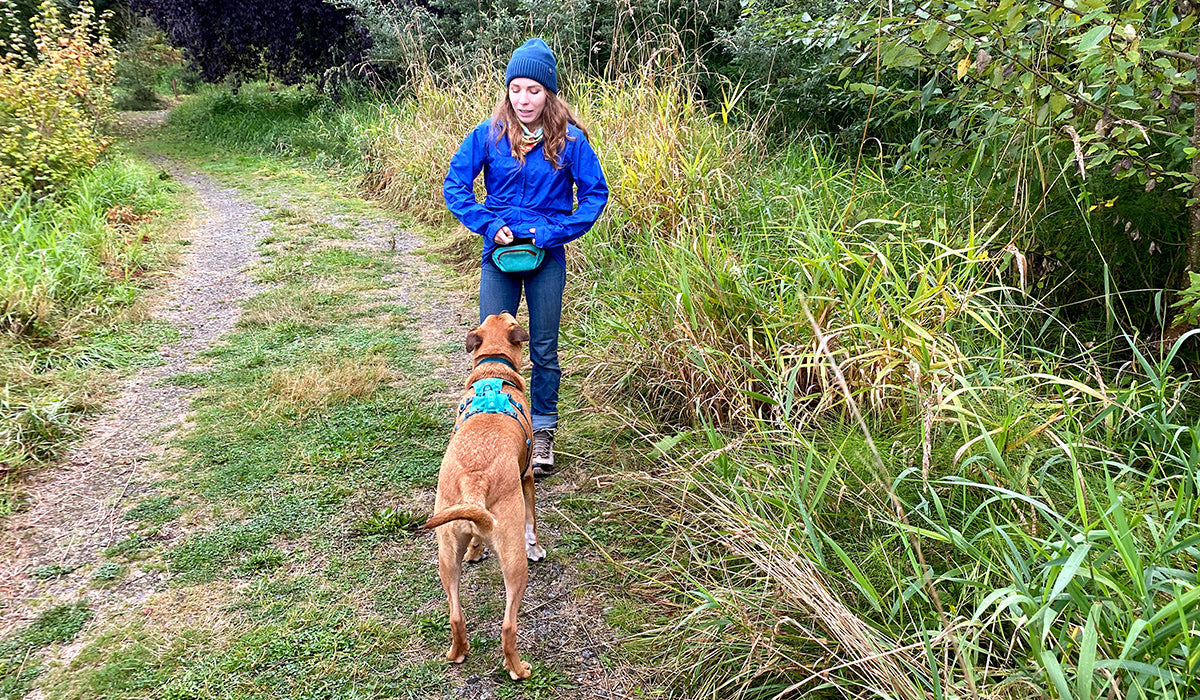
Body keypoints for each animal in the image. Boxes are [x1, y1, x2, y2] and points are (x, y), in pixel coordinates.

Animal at [422, 309, 549, 677]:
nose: (505, 309)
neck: (493, 369)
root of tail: (475, 480)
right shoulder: (526, 478)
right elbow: (533, 523)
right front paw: (537, 548)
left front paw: (476, 551)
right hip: (514, 563)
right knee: (508, 626)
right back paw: (518, 669)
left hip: (446, 556)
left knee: (455, 615)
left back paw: (457, 653)